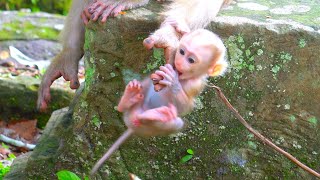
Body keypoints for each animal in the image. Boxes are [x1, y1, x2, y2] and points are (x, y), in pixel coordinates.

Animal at [91, 29, 229, 174]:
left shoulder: (195, 85)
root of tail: (132, 125)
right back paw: (129, 98)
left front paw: (173, 82)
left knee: (175, 123)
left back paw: (156, 115)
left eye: (191, 60)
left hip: (148, 129)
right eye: (182, 52)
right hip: (133, 111)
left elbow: (187, 107)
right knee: (138, 92)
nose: (179, 63)